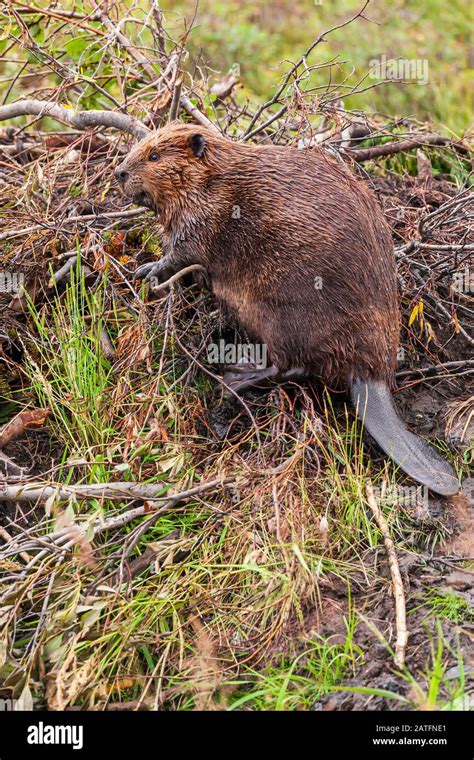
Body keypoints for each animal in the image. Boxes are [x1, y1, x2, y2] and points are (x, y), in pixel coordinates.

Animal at [115, 121, 460, 496]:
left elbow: (182, 251)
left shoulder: (205, 217)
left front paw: (148, 269)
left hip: (283, 316)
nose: (119, 172)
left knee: (292, 367)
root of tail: (371, 379)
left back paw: (238, 373)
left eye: (154, 155)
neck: (214, 180)